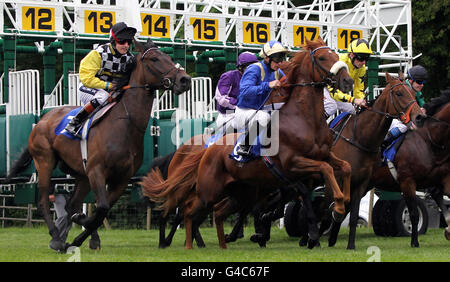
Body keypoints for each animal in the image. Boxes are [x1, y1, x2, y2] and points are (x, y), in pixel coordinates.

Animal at [6, 38, 192, 251]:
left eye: (168, 57)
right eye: (154, 59)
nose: (185, 79)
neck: (124, 124)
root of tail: (42, 120)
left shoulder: (121, 178)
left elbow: (103, 209)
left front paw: (81, 238)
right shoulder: (97, 170)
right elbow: (100, 208)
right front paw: (82, 226)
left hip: (81, 174)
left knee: (71, 204)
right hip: (45, 162)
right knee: (44, 201)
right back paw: (56, 237)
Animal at [326, 72, 428, 249]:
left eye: (413, 93)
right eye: (399, 93)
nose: (420, 116)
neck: (360, 139)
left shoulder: (362, 183)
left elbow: (353, 215)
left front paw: (351, 246)